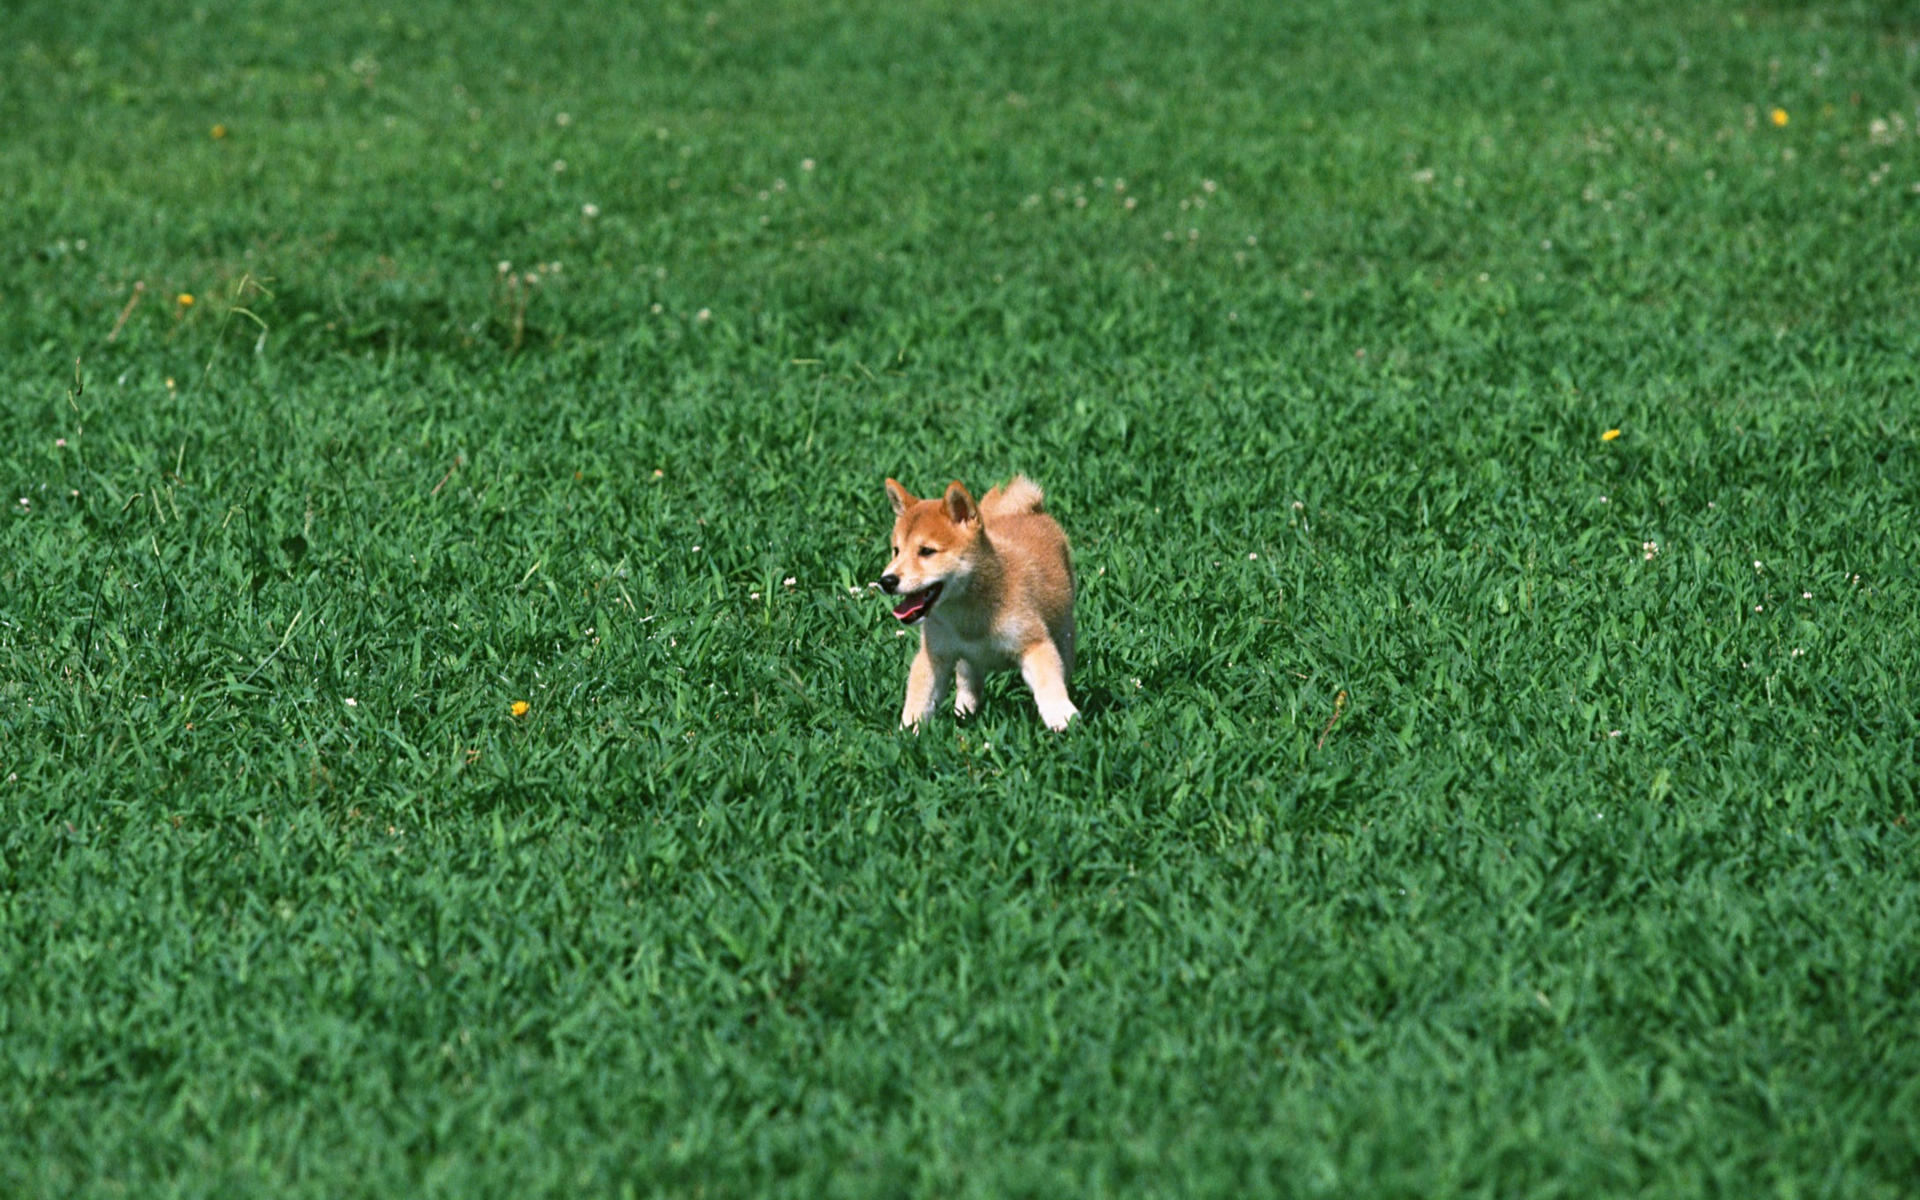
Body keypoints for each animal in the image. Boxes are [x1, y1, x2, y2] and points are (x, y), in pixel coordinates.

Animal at [879, 474, 1082, 729]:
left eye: (926, 551)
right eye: (896, 551)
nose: (886, 580)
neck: (968, 612)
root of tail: (1026, 510)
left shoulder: (1034, 643)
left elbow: (1049, 684)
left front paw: (1062, 717)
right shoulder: (934, 655)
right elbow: (918, 699)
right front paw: (908, 733)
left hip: (1063, 636)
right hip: (967, 662)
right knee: (968, 685)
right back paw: (964, 714)